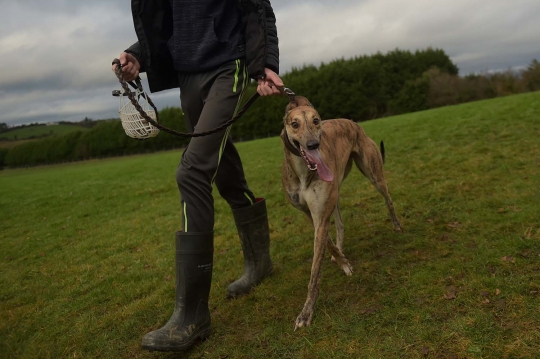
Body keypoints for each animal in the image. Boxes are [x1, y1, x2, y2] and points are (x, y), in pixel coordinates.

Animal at [280, 96, 402, 332]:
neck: (303, 172)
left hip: (373, 172)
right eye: (295, 124)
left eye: (316, 120)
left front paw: (306, 313)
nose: (313, 145)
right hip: (335, 191)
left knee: (388, 199)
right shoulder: (310, 214)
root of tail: (353, 123)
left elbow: (315, 273)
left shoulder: (320, 215)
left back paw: (397, 224)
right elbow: (328, 244)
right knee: (341, 224)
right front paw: (342, 260)